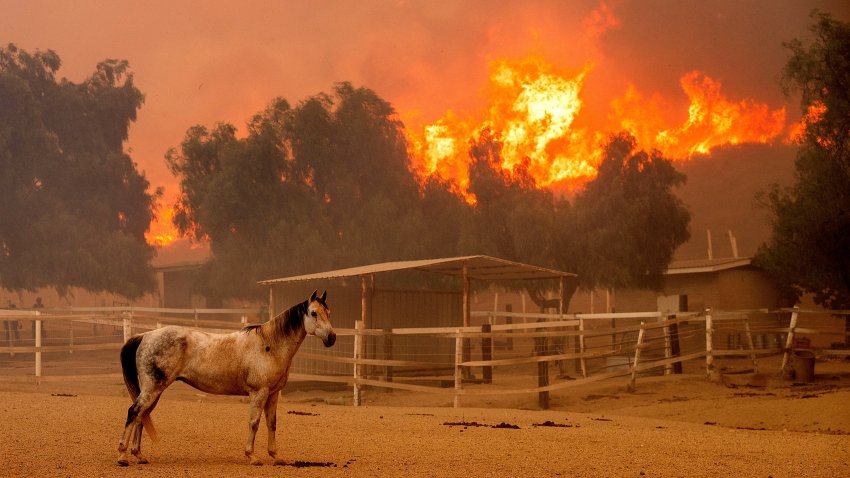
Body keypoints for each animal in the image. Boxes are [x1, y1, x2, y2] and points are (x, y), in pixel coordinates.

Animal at [117, 290, 334, 464]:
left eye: (329, 313)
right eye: (313, 313)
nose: (332, 338)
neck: (269, 345)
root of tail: (146, 335)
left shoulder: (272, 395)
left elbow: (271, 424)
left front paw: (276, 456)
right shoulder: (259, 393)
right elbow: (254, 422)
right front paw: (252, 456)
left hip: (154, 390)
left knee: (141, 416)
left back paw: (139, 455)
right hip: (152, 388)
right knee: (133, 412)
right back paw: (122, 456)